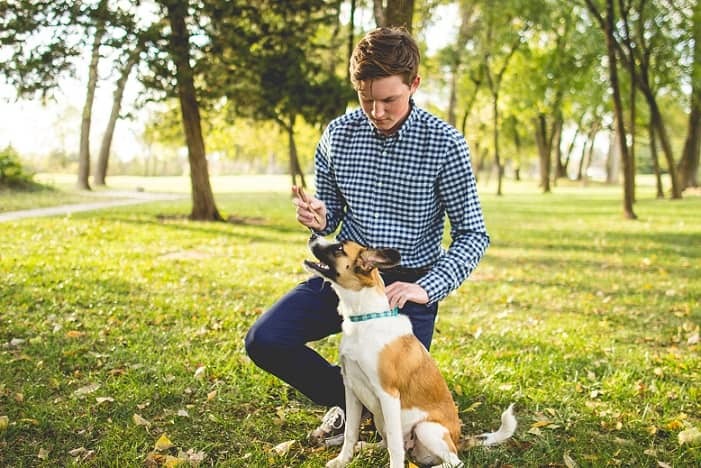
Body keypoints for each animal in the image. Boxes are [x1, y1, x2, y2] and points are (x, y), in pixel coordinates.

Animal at [304, 234, 516, 468]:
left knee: (453, 461)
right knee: (387, 443)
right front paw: (343, 460)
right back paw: (365, 447)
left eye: (339, 248)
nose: (312, 235)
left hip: (426, 429)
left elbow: (395, 448)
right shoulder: (351, 389)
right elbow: (351, 432)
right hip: (381, 419)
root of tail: (458, 440)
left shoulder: (388, 395)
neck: (364, 320)